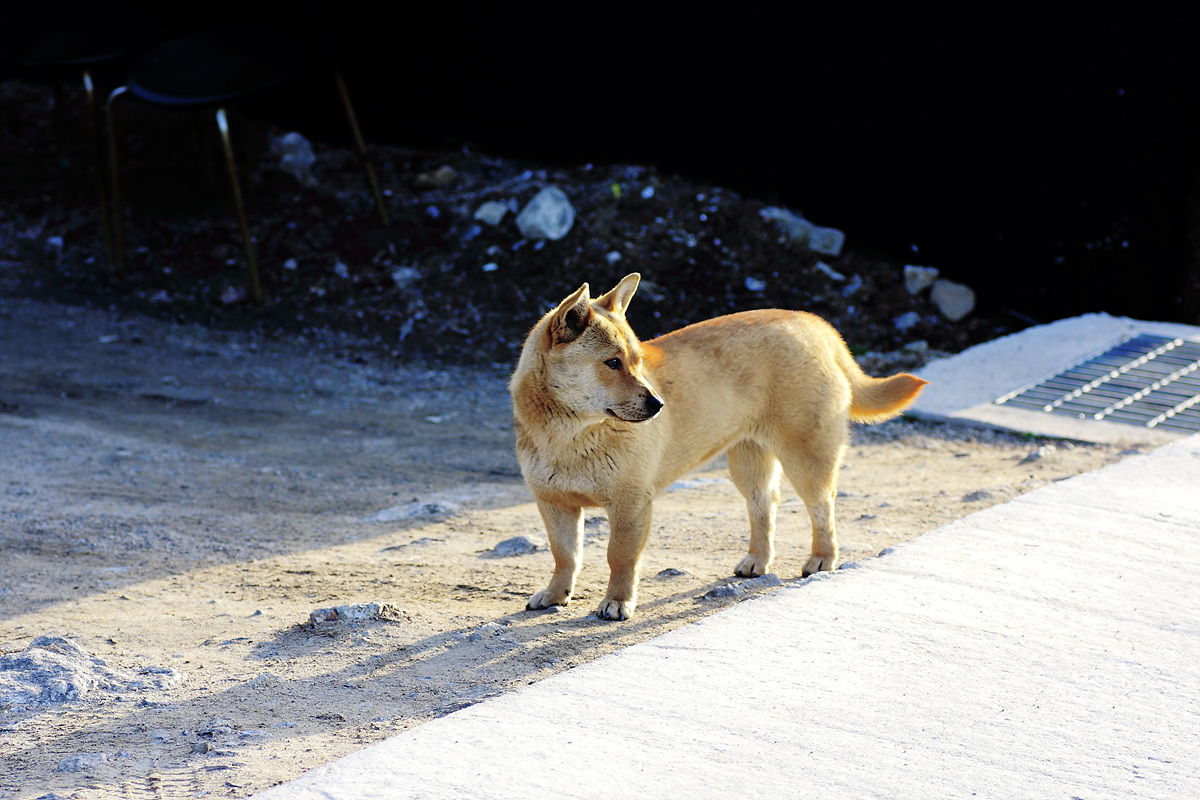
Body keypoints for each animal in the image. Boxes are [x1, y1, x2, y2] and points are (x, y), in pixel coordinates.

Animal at [506, 273, 926, 618]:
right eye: (612, 363)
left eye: (638, 361)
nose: (659, 404)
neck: (569, 435)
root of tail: (815, 325)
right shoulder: (554, 503)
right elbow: (565, 555)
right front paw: (556, 594)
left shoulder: (630, 504)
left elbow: (619, 557)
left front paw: (617, 601)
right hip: (747, 463)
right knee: (764, 508)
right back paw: (758, 560)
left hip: (808, 459)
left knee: (823, 510)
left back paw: (822, 559)